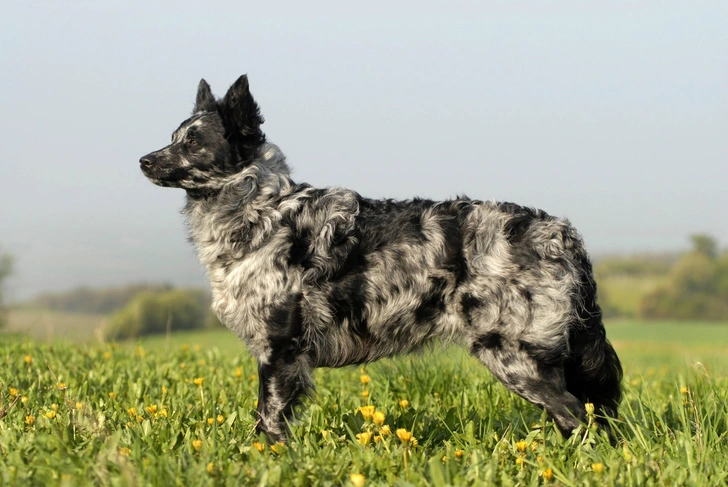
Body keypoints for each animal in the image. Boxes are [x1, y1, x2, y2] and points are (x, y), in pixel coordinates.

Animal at [139, 74, 624, 444]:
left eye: (194, 142)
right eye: (172, 137)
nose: (143, 160)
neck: (261, 211)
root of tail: (560, 233)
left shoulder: (280, 349)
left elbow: (270, 421)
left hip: (514, 358)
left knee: (579, 417)